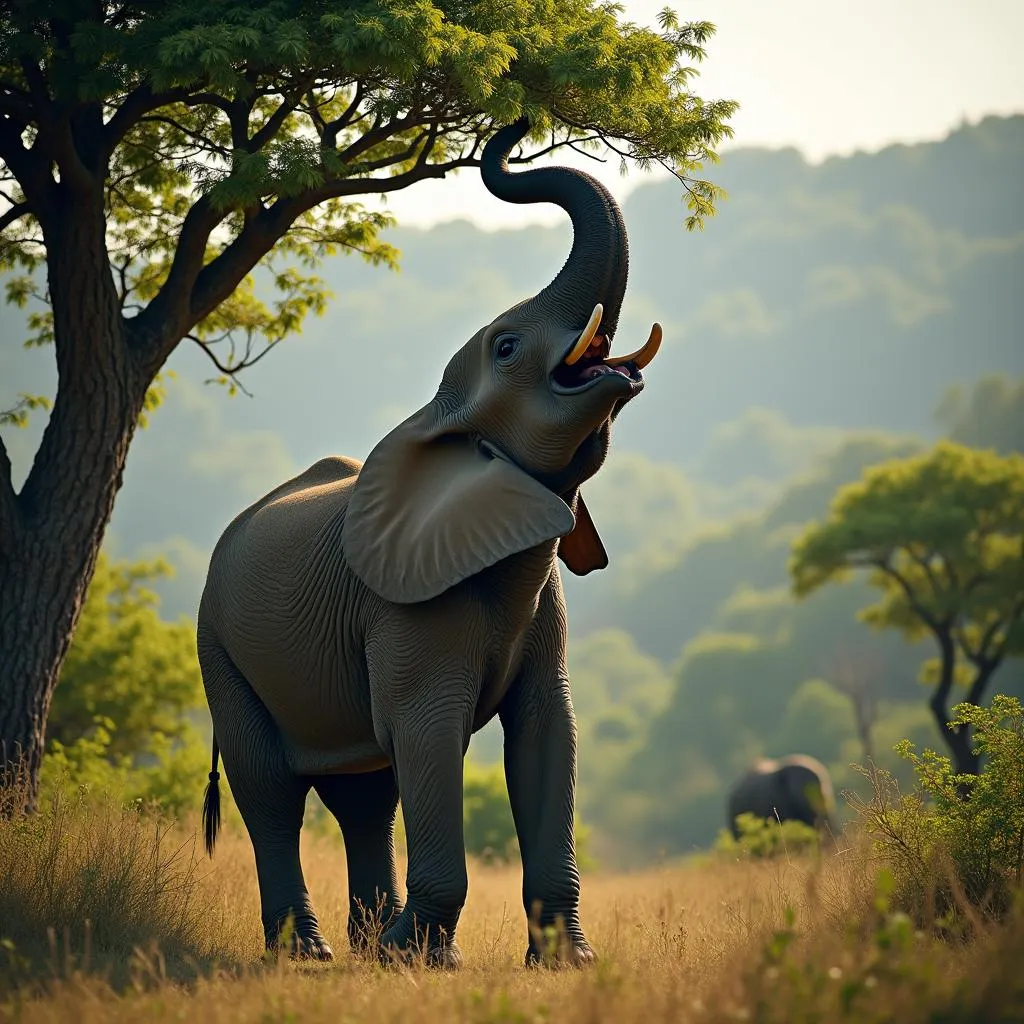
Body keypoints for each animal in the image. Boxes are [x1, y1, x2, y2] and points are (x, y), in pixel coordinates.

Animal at [195, 117, 663, 966]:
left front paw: (565, 963)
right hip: (218, 646)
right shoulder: (405, 610)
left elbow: (547, 733)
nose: (514, 122)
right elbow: (427, 729)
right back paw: (313, 956)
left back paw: (367, 950)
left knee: (366, 792)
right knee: (271, 790)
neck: (440, 422)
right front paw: (426, 961)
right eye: (506, 347)